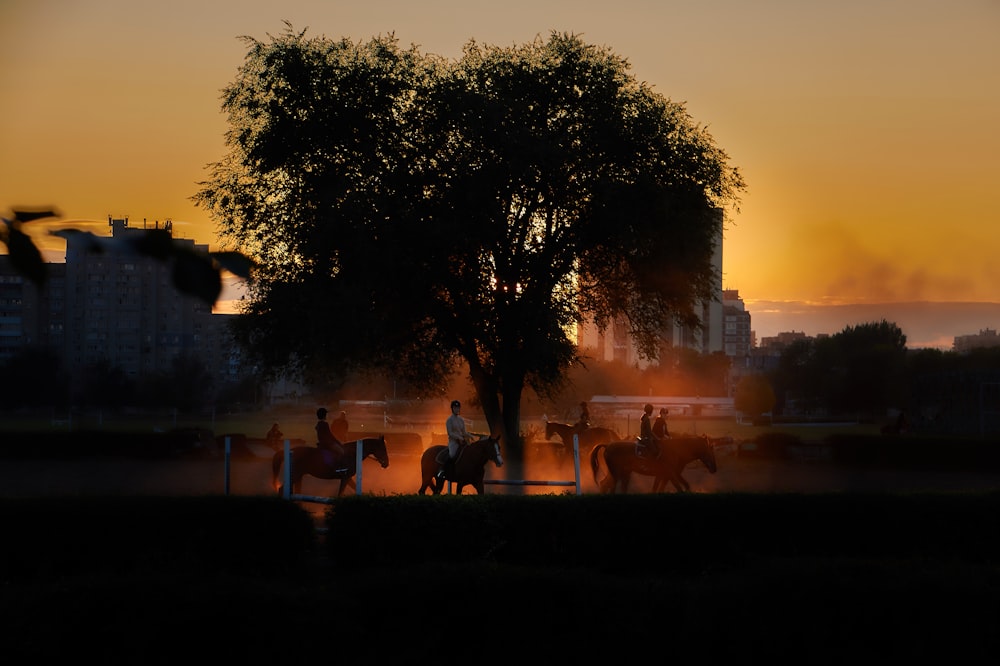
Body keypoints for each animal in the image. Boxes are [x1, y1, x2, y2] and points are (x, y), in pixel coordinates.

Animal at [584, 436, 720, 492]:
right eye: (710, 451)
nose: (714, 468)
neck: (676, 450)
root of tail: (607, 445)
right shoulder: (670, 474)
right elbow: (679, 487)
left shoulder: (665, 475)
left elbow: (658, 489)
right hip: (616, 474)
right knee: (609, 486)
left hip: (622, 473)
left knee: (605, 485)